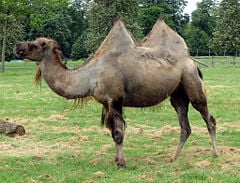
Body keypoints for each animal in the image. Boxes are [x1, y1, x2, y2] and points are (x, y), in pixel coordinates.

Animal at [15, 18, 218, 167]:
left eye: (37, 44)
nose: (18, 46)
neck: (91, 75)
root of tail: (192, 61)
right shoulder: (106, 103)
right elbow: (112, 131)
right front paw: (116, 159)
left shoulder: (115, 99)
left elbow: (119, 133)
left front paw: (121, 163)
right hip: (177, 94)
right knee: (185, 126)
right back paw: (173, 158)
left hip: (192, 82)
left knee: (209, 118)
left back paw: (215, 154)